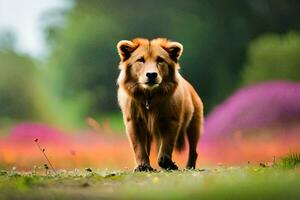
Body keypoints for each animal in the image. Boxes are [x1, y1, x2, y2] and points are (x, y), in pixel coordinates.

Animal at [116, 38, 203, 171]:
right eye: (140, 60)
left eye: (160, 60)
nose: (151, 74)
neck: (149, 97)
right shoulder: (134, 121)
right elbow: (139, 146)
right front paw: (143, 166)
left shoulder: (171, 120)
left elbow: (167, 143)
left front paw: (167, 163)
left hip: (194, 125)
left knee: (194, 150)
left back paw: (189, 167)